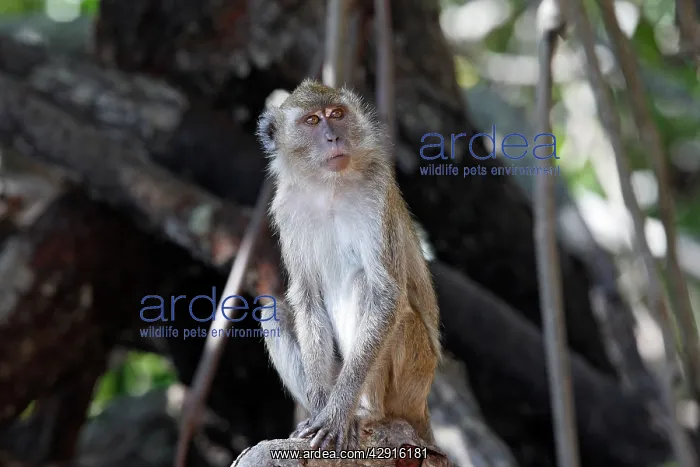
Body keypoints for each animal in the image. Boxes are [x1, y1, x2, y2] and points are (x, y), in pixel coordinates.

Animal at [255, 79, 442, 453]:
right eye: (313, 121)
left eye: (337, 114)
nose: (334, 137)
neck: (328, 188)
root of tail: (422, 404)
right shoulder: (286, 208)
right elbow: (306, 297)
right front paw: (319, 409)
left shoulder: (376, 190)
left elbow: (385, 293)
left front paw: (337, 413)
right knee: (274, 311)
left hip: (414, 373)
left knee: (364, 286)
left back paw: (366, 410)